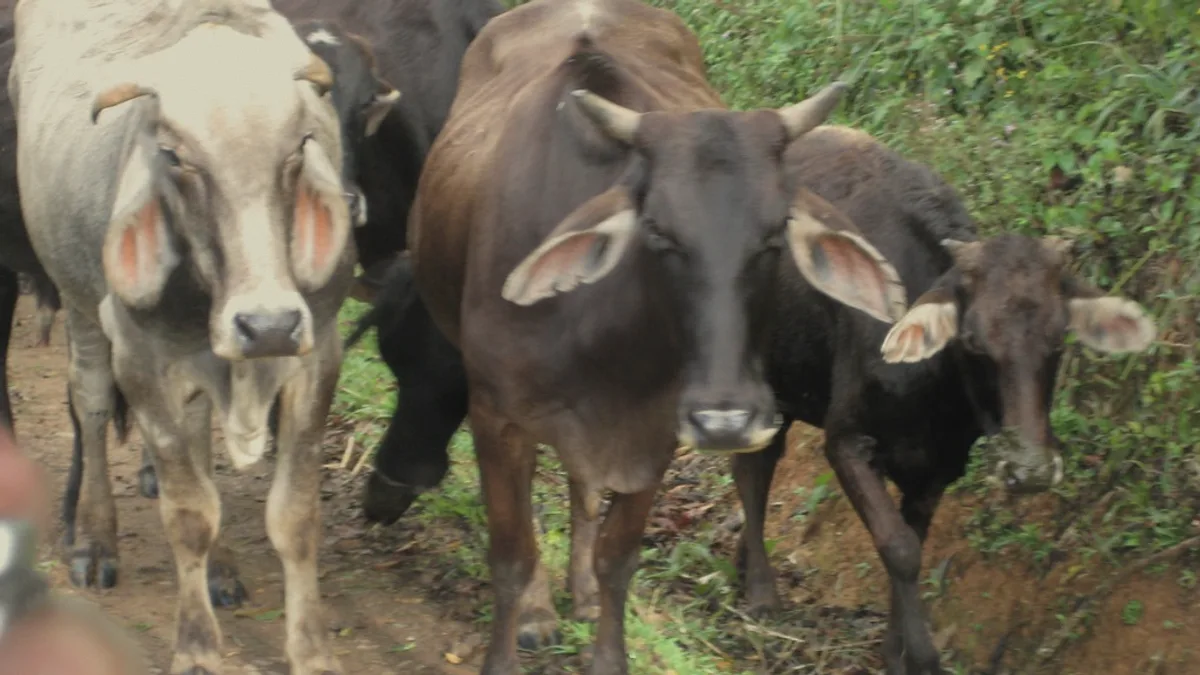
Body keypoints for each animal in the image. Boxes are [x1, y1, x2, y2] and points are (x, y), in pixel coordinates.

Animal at [11, 0, 356, 672]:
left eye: (299, 146)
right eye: (175, 156)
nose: (267, 324)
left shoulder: (317, 353)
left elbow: (296, 516)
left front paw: (313, 652)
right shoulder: (139, 359)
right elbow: (188, 513)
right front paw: (197, 647)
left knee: (198, 433)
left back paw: (220, 571)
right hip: (78, 303)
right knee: (91, 405)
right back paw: (95, 540)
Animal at [405, 0, 912, 671]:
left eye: (774, 235)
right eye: (658, 231)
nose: (725, 420)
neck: (601, 340)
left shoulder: (653, 433)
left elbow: (617, 558)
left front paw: (605, 643)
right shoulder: (497, 416)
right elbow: (511, 555)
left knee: (584, 494)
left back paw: (579, 594)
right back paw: (543, 612)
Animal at [729, 128, 1157, 674]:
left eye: (1060, 337)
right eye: (973, 340)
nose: (1031, 470)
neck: (934, 393)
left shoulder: (940, 467)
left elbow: (915, 541)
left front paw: (897, 651)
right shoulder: (846, 440)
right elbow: (899, 548)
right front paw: (922, 655)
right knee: (752, 468)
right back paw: (762, 593)